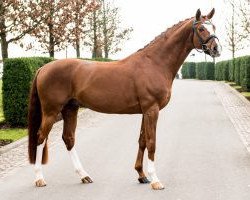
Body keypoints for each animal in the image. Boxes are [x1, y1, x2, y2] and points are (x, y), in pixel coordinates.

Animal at [28, 9, 221, 191]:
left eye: (214, 26)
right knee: (40, 137)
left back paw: (84, 176)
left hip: (70, 109)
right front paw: (155, 180)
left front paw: (142, 176)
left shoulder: (145, 111)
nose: (216, 49)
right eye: (201, 28)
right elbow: (152, 142)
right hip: (51, 111)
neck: (155, 63)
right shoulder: (152, 109)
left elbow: (142, 141)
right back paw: (39, 179)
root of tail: (43, 68)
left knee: (68, 138)